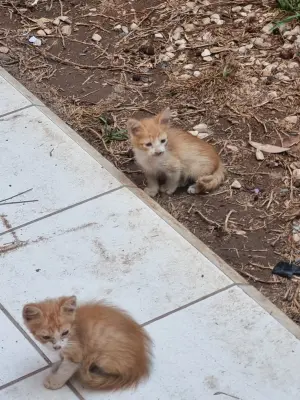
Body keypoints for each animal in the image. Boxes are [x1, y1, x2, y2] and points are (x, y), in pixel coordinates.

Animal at [22, 296, 152, 390]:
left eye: (65, 332)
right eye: (46, 337)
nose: (57, 347)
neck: (74, 327)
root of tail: (140, 366)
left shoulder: (76, 351)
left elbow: (66, 368)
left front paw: (55, 381)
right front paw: (58, 363)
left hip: (104, 357)